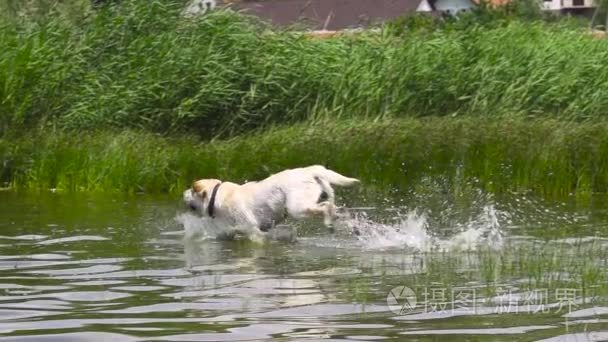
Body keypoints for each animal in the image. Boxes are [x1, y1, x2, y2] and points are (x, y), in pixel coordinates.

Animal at [183, 166, 358, 238]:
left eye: (191, 190)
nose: (182, 193)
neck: (217, 196)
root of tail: (311, 171)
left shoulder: (252, 229)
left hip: (297, 208)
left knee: (326, 208)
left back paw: (329, 224)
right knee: (338, 209)